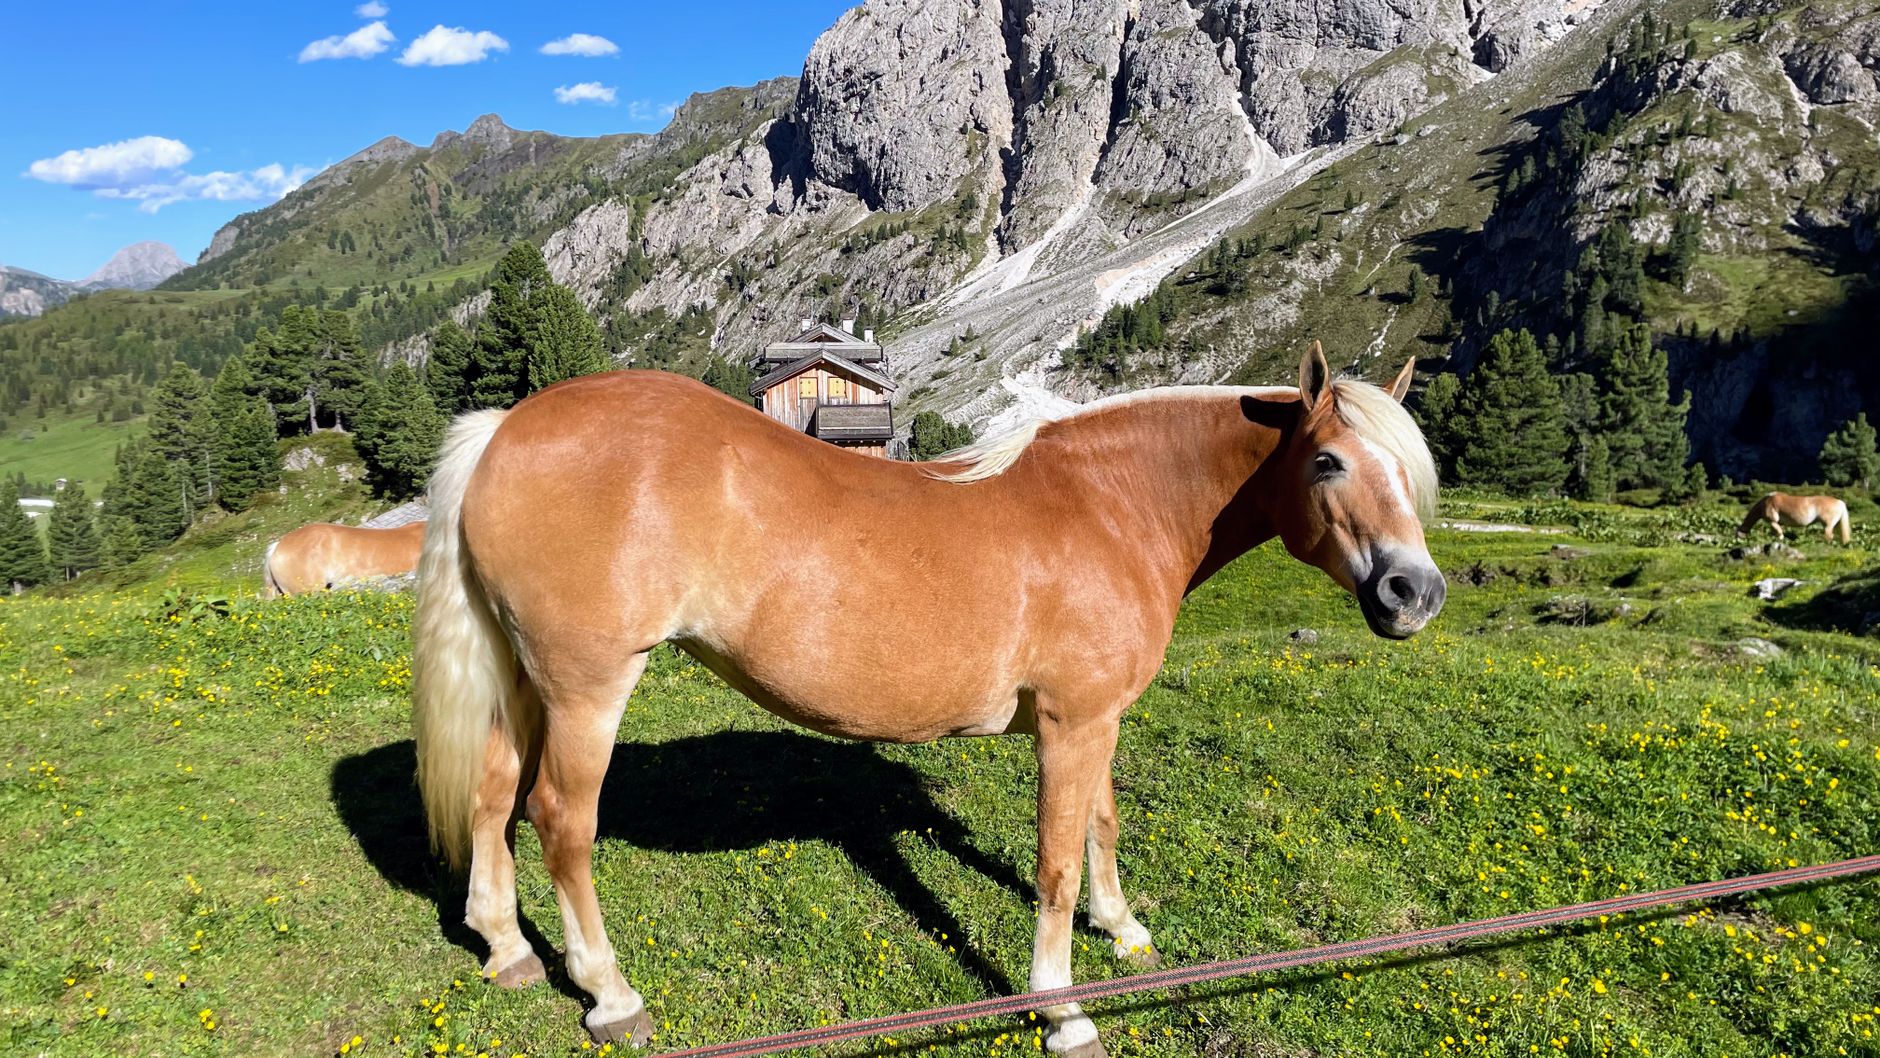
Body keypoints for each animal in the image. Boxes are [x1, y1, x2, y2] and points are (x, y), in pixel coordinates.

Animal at [410, 342, 1444, 1056]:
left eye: (1411, 471)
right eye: (1328, 462)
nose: (1414, 592)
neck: (1111, 504)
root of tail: (506, 429)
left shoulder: (1098, 716)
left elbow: (1102, 825)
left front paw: (1122, 930)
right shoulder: (1070, 723)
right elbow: (1056, 864)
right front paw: (1062, 1009)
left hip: (525, 683)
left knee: (494, 798)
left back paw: (505, 949)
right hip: (587, 689)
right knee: (559, 820)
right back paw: (610, 995)